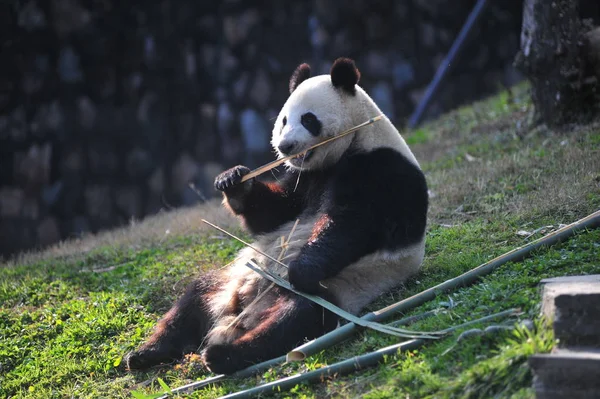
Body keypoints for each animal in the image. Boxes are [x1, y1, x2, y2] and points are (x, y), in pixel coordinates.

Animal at [124, 57, 428, 376]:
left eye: (308, 119)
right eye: (283, 119)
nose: (285, 146)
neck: (356, 137)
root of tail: (244, 311)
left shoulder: (379, 169)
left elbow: (351, 224)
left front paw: (301, 270)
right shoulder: (305, 178)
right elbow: (274, 213)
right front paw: (233, 180)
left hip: (341, 288)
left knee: (296, 320)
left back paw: (223, 355)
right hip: (228, 280)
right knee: (192, 299)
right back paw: (146, 353)